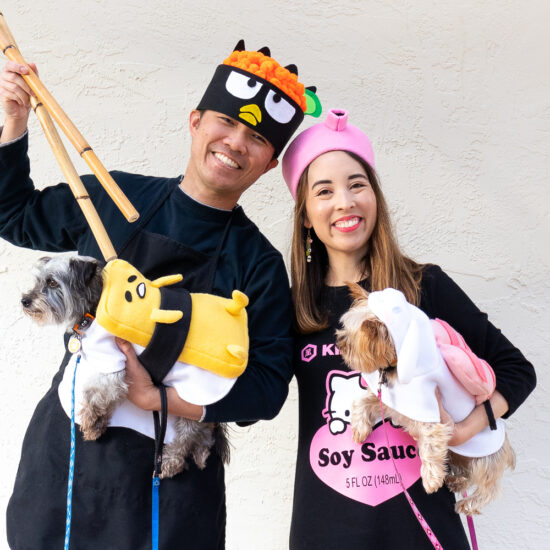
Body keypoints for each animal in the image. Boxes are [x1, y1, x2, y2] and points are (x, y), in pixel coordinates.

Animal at [21, 256, 229, 476]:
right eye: (37, 280)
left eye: (52, 282)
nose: (25, 300)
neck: (94, 307)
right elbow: (107, 397)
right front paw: (98, 424)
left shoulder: (114, 361)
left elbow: (93, 392)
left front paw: (90, 417)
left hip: (191, 403)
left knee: (186, 438)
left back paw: (171, 461)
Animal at [336, 284, 516, 516]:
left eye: (349, 341)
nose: (338, 343)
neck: (395, 364)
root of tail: (507, 447)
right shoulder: (393, 402)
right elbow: (362, 401)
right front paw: (359, 430)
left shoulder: (432, 416)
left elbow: (429, 445)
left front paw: (430, 480)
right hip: (459, 455)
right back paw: (457, 482)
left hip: (484, 459)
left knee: (488, 486)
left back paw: (468, 503)